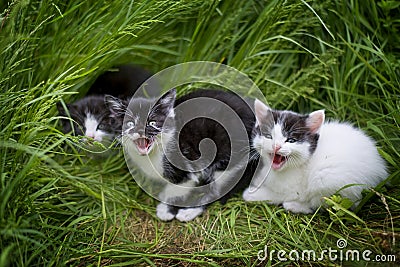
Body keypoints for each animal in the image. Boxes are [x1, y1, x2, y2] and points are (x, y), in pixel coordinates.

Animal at [106, 89, 256, 223]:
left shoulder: (188, 164)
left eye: (152, 123)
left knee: (218, 191)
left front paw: (165, 209)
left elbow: (175, 189)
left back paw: (189, 211)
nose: (140, 131)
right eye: (130, 123)